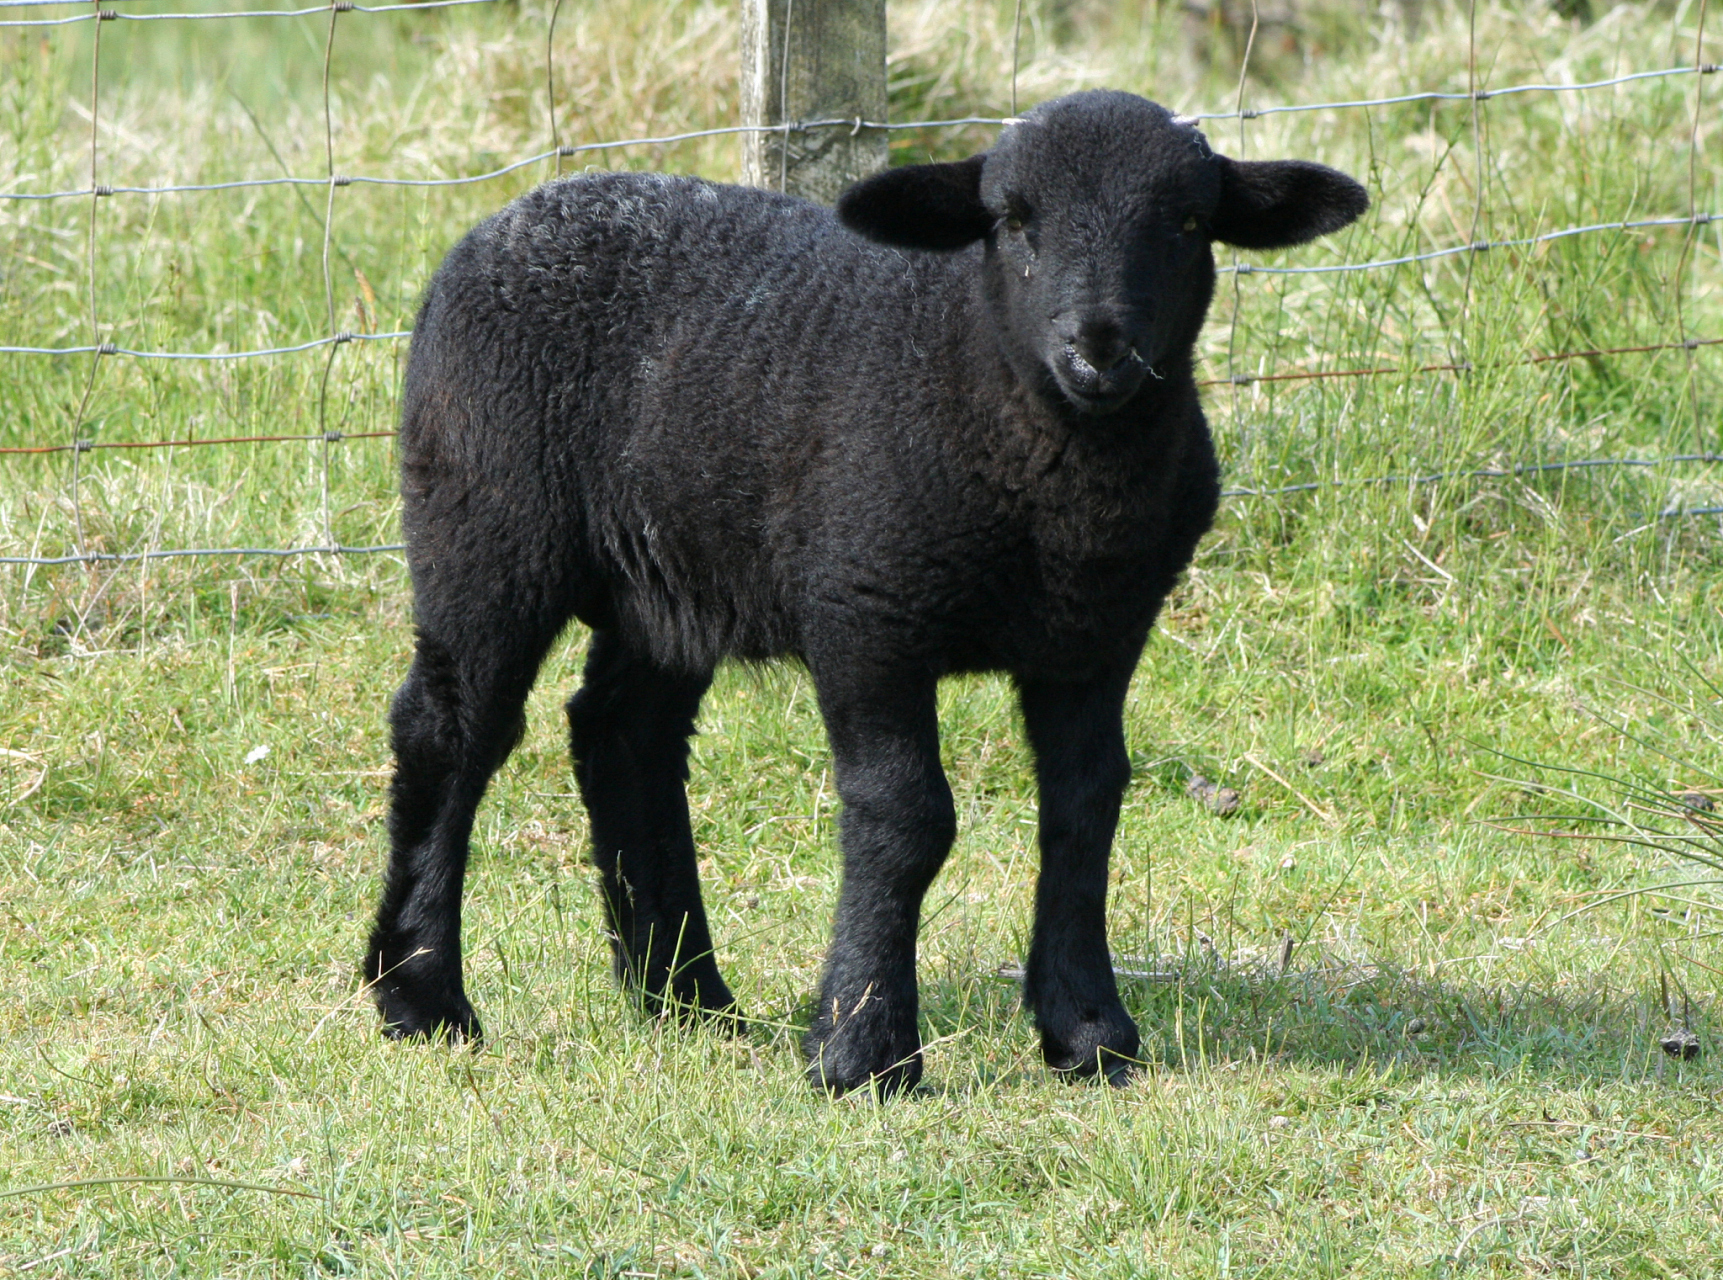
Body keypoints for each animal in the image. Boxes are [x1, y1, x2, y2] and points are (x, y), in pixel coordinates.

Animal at [364, 88, 1366, 1096]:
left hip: (669, 574)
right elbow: (905, 817)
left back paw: (686, 998)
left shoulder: (1097, 637)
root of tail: (511, 214)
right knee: (450, 728)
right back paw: (420, 996)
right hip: (485, 519)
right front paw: (862, 1049)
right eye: (1012, 219)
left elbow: (1086, 808)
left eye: (1189, 223)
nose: (1097, 353)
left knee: (624, 737)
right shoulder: (866, 612)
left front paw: (1088, 1031)